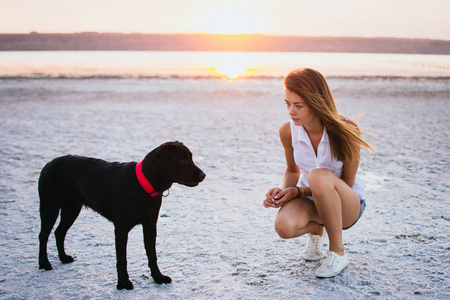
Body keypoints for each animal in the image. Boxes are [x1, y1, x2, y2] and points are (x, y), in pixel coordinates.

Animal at [37, 142, 205, 290]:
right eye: (182, 161)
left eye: (191, 158)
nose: (203, 175)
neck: (142, 186)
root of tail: (49, 163)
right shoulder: (121, 228)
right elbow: (122, 258)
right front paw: (123, 283)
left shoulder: (150, 224)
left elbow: (152, 254)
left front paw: (158, 277)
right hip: (49, 206)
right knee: (43, 235)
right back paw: (44, 264)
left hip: (71, 208)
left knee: (59, 232)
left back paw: (63, 258)